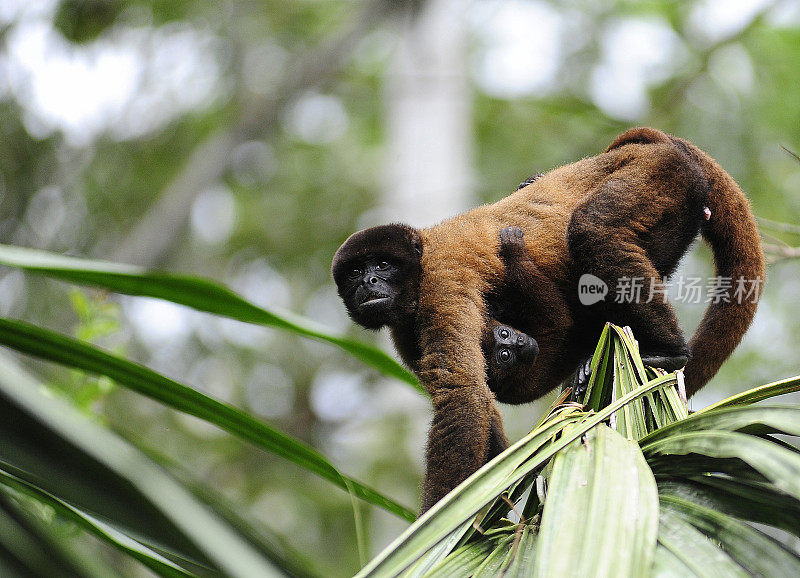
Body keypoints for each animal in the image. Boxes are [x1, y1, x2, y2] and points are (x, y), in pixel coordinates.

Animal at [330, 127, 764, 508]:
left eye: (382, 265)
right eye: (354, 273)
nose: (368, 282)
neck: (416, 275)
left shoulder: (440, 285)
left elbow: (464, 395)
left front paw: (439, 529)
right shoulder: (405, 333)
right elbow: (484, 403)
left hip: (658, 174)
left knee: (593, 229)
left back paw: (669, 352)